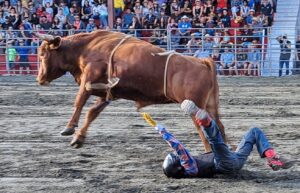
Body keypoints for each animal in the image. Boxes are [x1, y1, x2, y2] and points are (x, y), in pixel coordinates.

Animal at [33, 29, 225, 152]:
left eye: (43, 54)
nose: (39, 78)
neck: (86, 47)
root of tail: (202, 62)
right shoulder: (108, 93)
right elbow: (92, 113)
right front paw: (78, 138)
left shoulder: (89, 77)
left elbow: (79, 101)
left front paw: (69, 128)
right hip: (210, 105)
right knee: (218, 127)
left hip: (194, 107)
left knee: (204, 131)